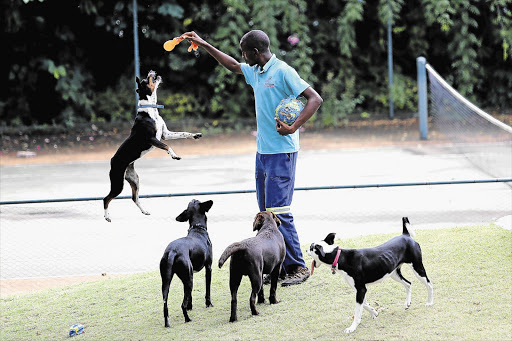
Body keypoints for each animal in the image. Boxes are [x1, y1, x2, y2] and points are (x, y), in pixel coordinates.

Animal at [102, 70, 202, 222]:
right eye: (145, 80)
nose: (152, 71)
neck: (150, 111)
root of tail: (112, 161)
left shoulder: (165, 134)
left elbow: (183, 133)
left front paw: (195, 135)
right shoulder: (152, 139)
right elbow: (167, 146)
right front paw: (174, 156)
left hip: (134, 180)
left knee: (134, 198)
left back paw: (145, 211)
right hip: (118, 183)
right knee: (106, 198)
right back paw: (107, 217)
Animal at [306, 218, 434, 332]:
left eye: (311, 247)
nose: (306, 250)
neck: (339, 257)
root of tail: (405, 235)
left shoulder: (361, 289)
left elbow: (358, 309)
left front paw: (352, 327)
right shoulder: (359, 289)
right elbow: (364, 304)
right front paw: (374, 312)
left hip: (417, 268)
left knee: (429, 284)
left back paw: (429, 302)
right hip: (394, 273)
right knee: (408, 283)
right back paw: (407, 303)